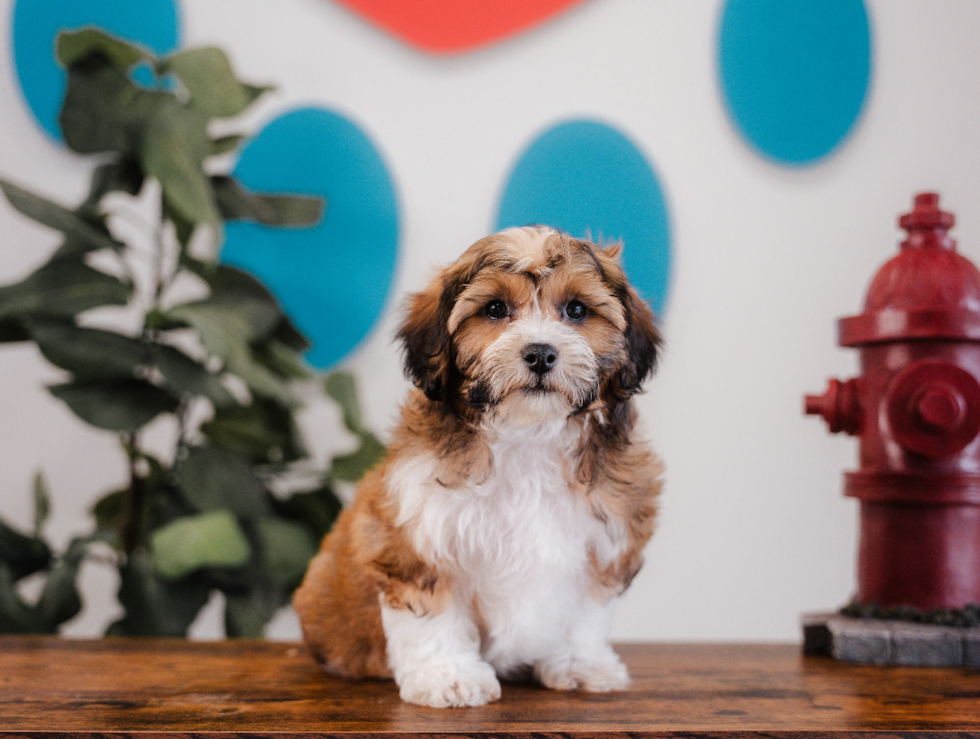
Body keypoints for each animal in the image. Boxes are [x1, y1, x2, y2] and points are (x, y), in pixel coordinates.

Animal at [294, 227, 664, 712]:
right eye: (495, 309)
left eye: (577, 310)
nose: (540, 354)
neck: (529, 433)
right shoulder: (417, 535)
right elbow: (432, 612)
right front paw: (448, 676)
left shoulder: (607, 535)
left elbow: (585, 612)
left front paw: (580, 664)